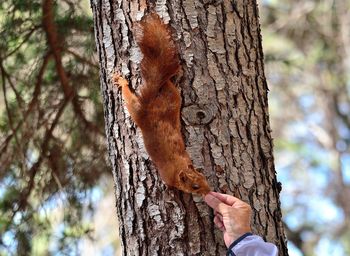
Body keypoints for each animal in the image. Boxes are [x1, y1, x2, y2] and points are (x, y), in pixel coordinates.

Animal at [113, 13, 211, 195]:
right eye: (195, 186)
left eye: (203, 176)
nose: (209, 190)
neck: (178, 166)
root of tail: (148, 108)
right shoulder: (167, 176)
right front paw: (171, 192)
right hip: (151, 104)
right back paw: (123, 82)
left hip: (155, 104)